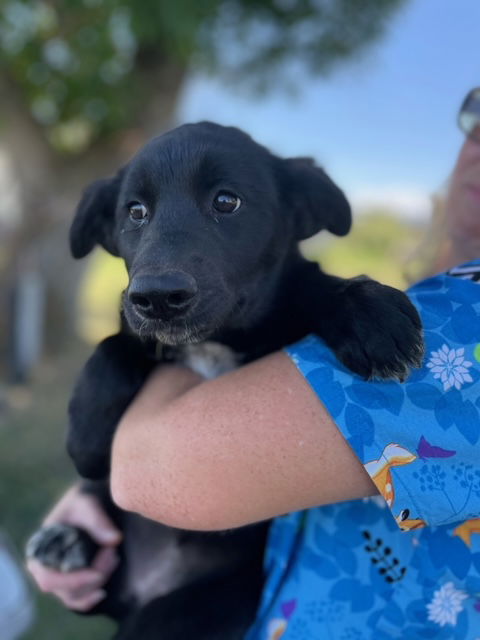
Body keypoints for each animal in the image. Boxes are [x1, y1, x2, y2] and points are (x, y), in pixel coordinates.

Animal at [27, 122, 424, 636]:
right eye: (135, 212)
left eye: (226, 201)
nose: (157, 297)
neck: (216, 340)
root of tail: (144, 589)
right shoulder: (141, 327)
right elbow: (114, 345)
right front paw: (87, 441)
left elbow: (314, 284)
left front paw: (370, 313)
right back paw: (68, 541)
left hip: (191, 609)